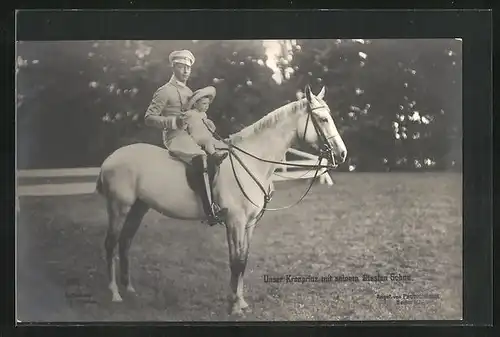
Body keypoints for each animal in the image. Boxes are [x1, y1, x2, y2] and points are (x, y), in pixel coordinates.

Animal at [96, 84, 348, 316]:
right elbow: (235, 261)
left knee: (125, 242)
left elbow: (243, 260)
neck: (252, 162)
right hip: (119, 207)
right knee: (110, 243)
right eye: (323, 119)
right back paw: (115, 293)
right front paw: (234, 306)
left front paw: (240, 301)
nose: (342, 153)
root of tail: (109, 160)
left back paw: (129, 289)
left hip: (139, 207)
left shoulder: (248, 224)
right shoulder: (235, 222)